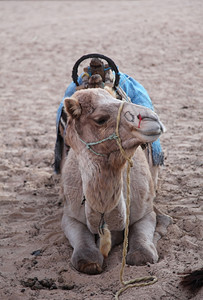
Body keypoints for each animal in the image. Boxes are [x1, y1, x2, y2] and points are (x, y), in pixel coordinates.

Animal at [61, 86, 167, 274]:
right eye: (100, 119)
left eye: (118, 100)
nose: (152, 118)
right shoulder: (69, 216)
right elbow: (86, 258)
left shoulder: (146, 213)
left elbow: (142, 255)